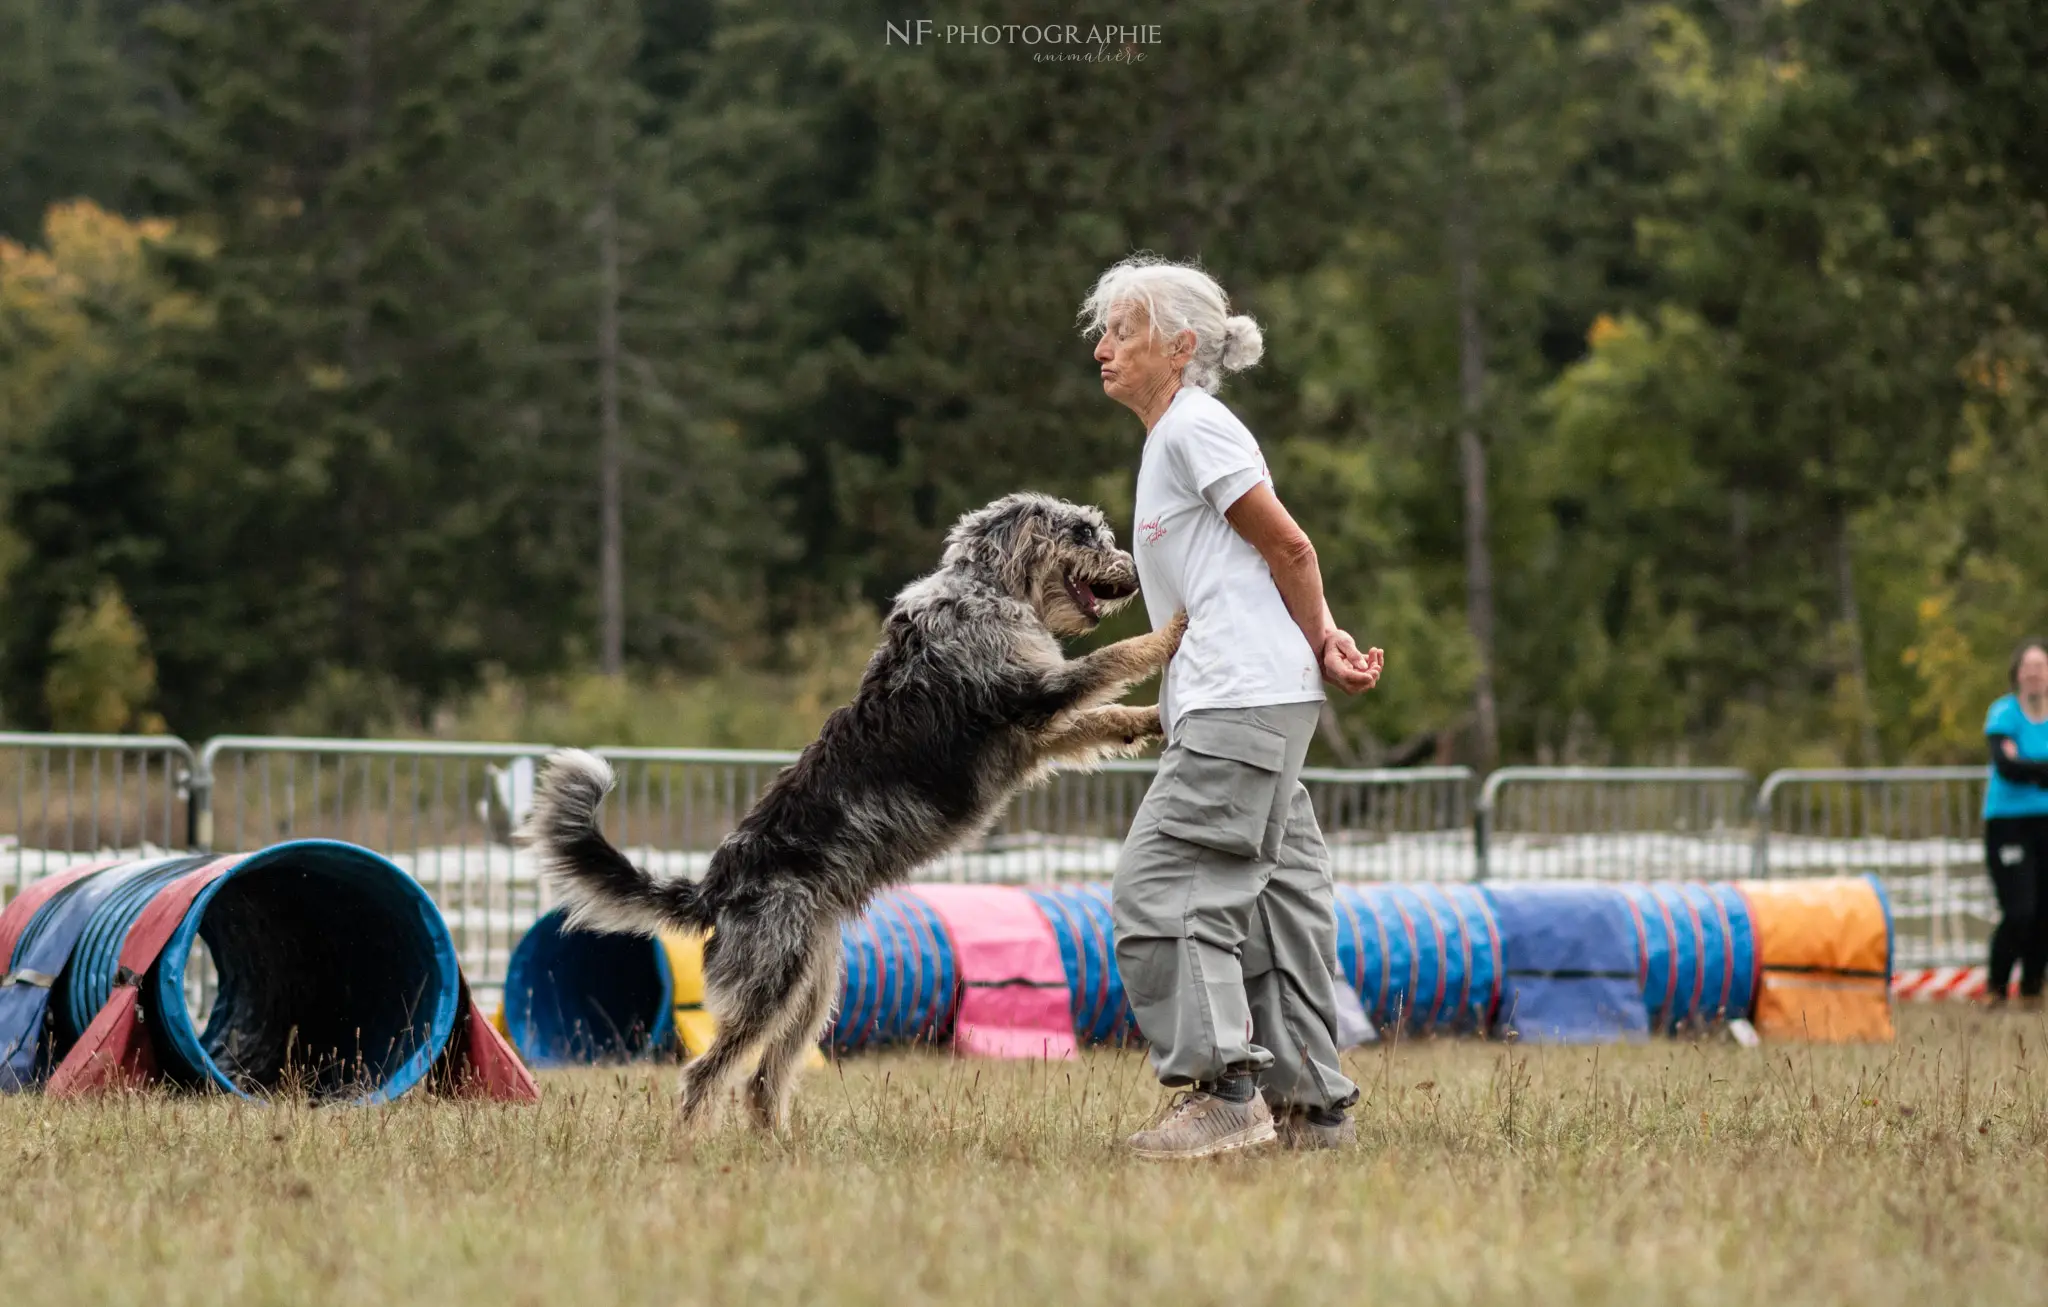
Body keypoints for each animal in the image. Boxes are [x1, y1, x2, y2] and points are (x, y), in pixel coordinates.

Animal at [516, 493, 1187, 1139]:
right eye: (1085, 532)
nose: (1133, 577)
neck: (989, 590)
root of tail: (714, 887)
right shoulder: (1034, 697)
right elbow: (1113, 658)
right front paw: (1173, 630)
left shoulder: (1036, 734)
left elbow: (1103, 716)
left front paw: (1149, 720)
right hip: (770, 988)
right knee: (706, 1072)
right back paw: (692, 1144)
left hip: (812, 993)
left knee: (761, 1080)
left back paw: (780, 1146)